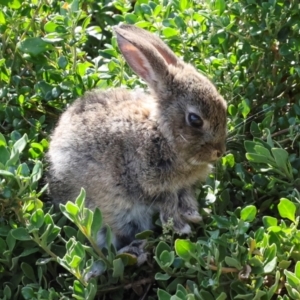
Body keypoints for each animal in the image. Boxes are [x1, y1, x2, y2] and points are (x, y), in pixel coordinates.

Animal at [46, 24, 227, 253]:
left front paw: (193, 216)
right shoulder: (143, 184)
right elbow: (167, 203)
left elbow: (184, 197)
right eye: (195, 119)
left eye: (224, 106)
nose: (219, 152)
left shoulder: (183, 186)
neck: (162, 135)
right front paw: (183, 226)